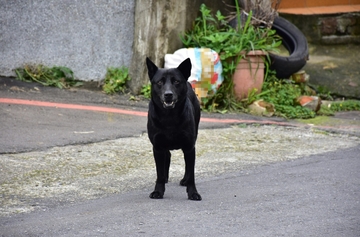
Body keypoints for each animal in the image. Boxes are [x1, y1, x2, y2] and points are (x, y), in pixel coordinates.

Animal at [146, 57, 202, 200]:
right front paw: (158, 191)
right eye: (159, 82)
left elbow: (191, 173)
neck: (169, 116)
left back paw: (184, 180)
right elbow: (159, 173)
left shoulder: (189, 147)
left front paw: (193, 193)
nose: (168, 94)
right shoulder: (158, 147)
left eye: (176, 82)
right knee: (168, 155)